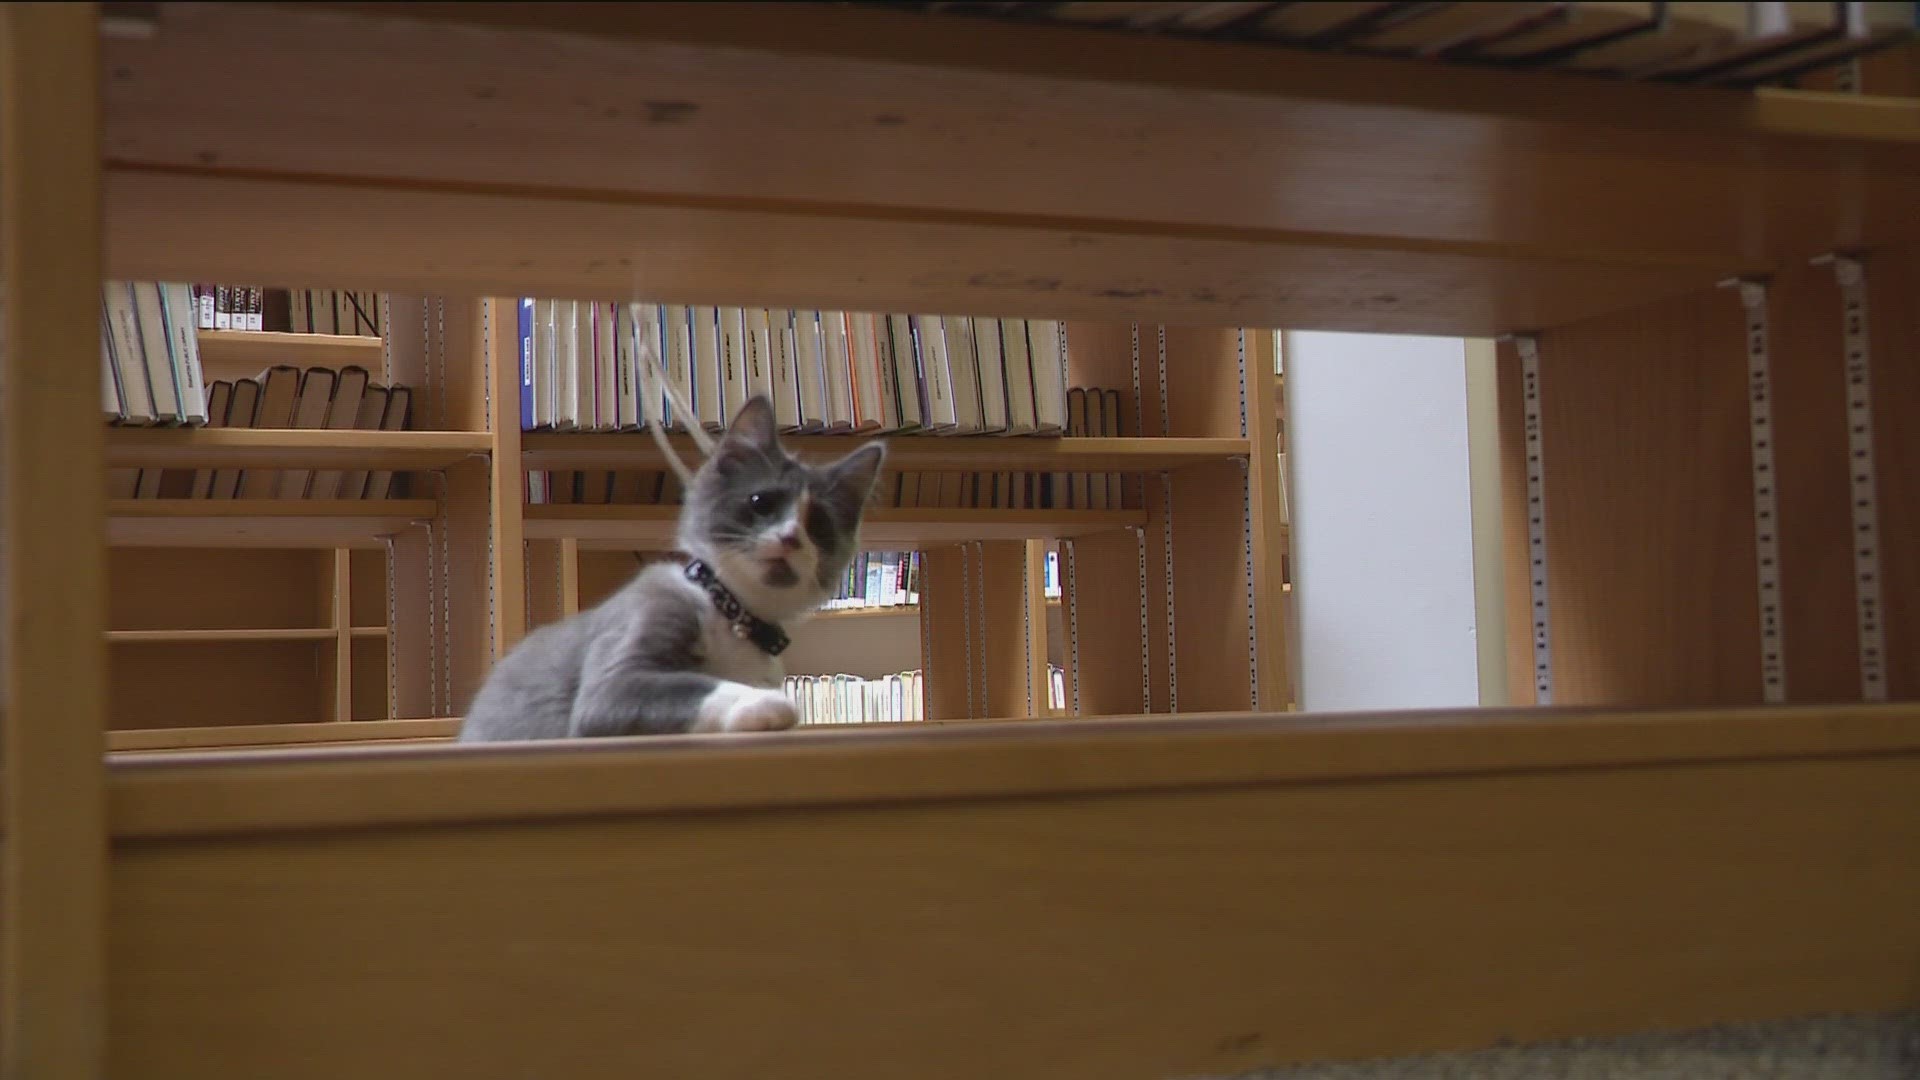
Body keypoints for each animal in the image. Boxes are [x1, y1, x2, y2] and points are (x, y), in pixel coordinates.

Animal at [456, 395, 883, 737]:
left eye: (819, 526)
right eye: (760, 502)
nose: (791, 537)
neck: (734, 614)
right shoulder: (618, 671)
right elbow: (688, 686)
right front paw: (762, 703)